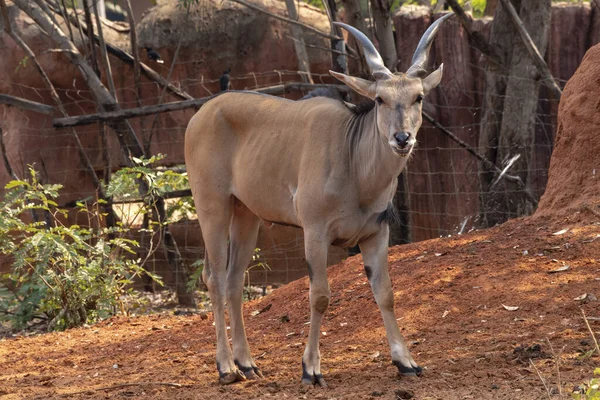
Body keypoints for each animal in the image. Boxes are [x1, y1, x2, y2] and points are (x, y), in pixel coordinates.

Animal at [185, 14, 452, 386]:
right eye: (380, 99)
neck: (353, 159)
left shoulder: (376, 233)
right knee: (215, 278)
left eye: (419, 97)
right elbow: (320, 297)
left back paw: (247, 363)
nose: (402, 138)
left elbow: (385, 293)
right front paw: (311, 368)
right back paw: (226, 367)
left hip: (246, 215)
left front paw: (406, 361)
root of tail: (201, 113)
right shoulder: (315, 231)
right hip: (212, 207)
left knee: (235, 279)